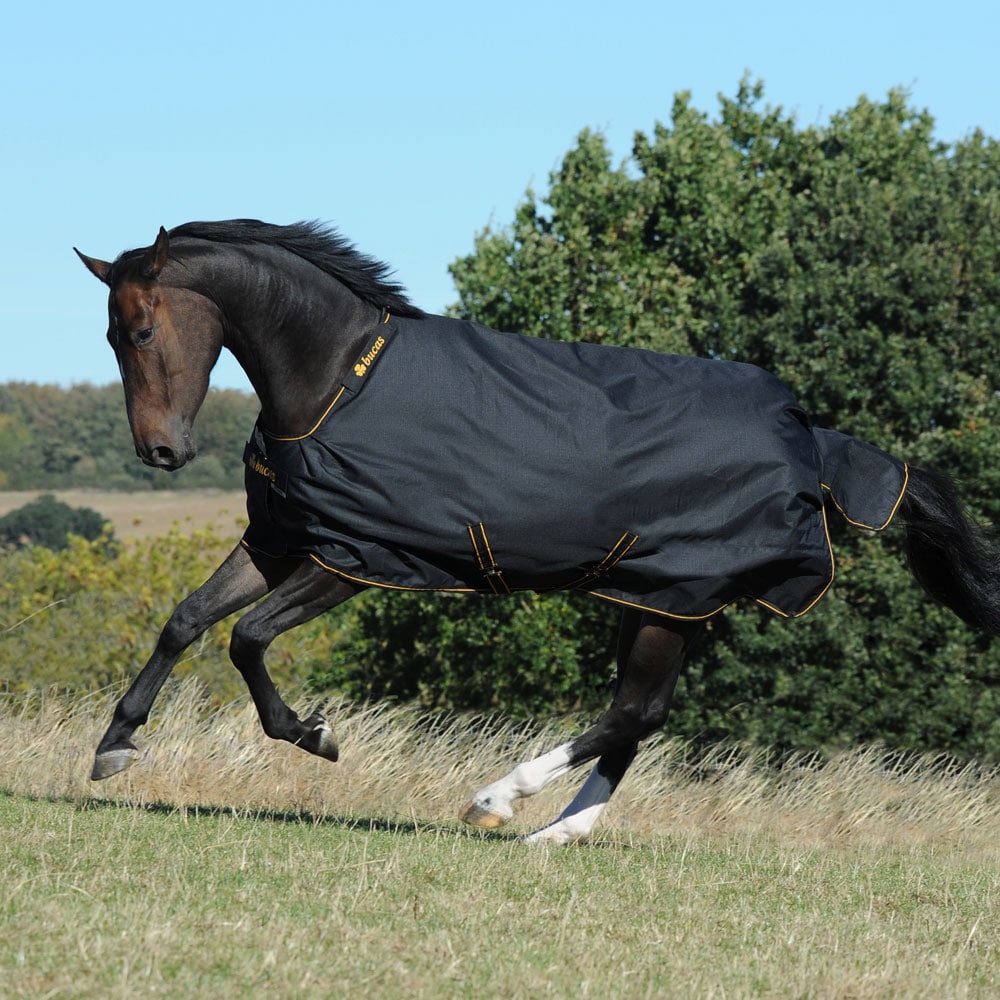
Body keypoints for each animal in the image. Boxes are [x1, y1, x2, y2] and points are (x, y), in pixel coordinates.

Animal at [76, 221, 1000, 844]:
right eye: (111, 334)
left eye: (144, 329)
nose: (161, 452)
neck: (338, 380)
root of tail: (810, 442)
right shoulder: (280, 540)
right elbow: (187, 621)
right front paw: (115, 746)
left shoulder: (352, 556)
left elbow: (248, 638)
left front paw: (314, 735)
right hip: (659, 598)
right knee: (642, 715)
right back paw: (555, 831)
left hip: (673, 597)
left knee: (632, 712)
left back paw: (498, 800)